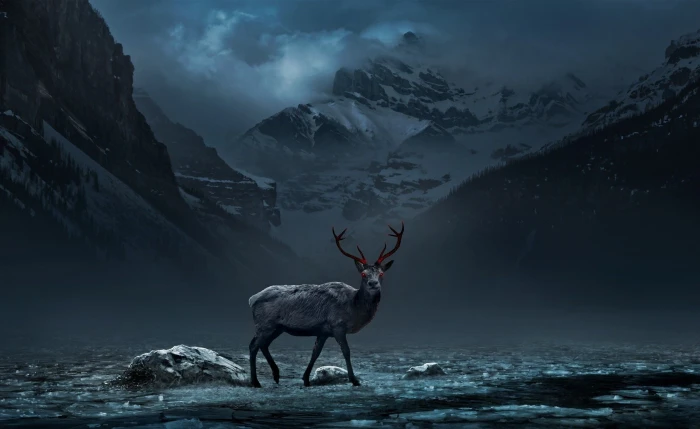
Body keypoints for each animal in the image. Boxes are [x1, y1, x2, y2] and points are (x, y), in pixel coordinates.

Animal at [247, 222, 404, 388]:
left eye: (381, 273)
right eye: (363, 274)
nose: (373, 283)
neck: (354, 308)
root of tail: (252, 299)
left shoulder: (323, 331)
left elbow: (315, 353)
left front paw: (306, 379)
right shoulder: (337, 326)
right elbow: (346, 351)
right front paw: (354, 380)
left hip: (277, 327)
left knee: (264, 345)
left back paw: (276, 375)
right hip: (265, 324)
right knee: (253, 345)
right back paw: (256, 381)